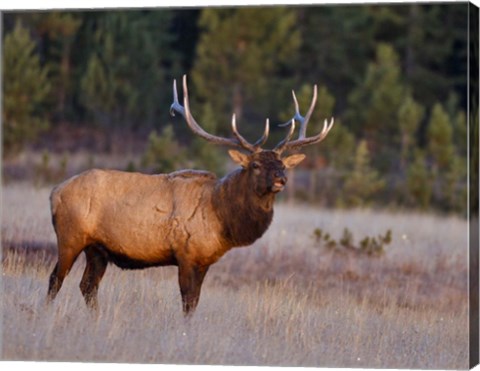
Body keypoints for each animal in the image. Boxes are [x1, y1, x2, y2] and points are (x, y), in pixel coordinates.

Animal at [47, 77, 334, 316]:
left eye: (282, 164)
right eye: (255, 165)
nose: (280, 179)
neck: (222, 218)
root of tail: (54, 192)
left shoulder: (204, 260)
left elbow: (195, 302)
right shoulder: (184, 254)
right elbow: (187, 301)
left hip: (98, 249)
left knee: (87, 286)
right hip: (70, 236)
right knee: (55, 279)